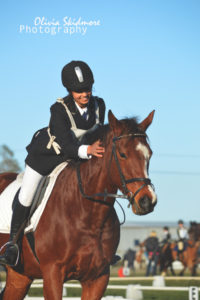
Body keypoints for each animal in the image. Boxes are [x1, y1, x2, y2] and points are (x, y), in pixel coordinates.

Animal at [0, 110, 156, 300]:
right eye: (122, 154)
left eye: (149, 154)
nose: (147, 201)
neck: (86, 214)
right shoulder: (52, 274)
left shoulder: (97, 278)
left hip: (20, 275)